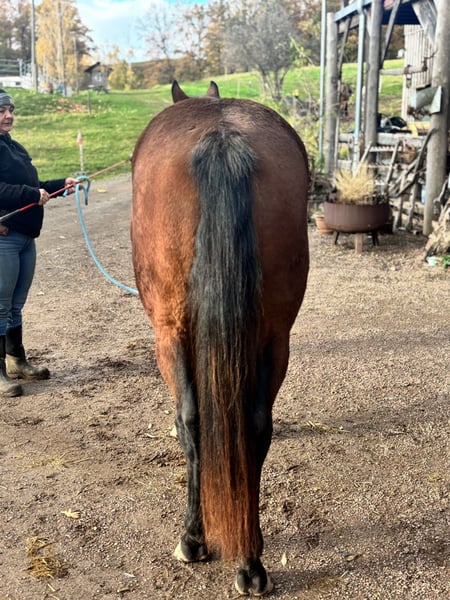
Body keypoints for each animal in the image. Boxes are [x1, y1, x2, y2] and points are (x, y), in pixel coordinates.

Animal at [131, 80, 309, 595]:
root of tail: (222, 140)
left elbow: (189, 418)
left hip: (169, 333)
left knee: (192, 422)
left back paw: (193, 538)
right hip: (275, 337)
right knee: (256, 426)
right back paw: (251, 560)